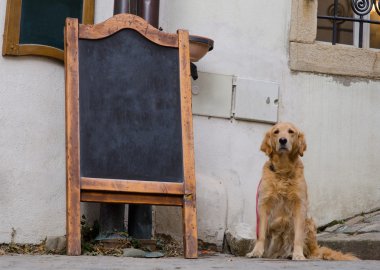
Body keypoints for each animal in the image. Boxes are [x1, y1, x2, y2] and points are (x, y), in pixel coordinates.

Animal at [246, 123, 356, 260]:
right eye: (276, 132)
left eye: (291, 131)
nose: (283, 140)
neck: (283, 170)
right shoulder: (263, 204)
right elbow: (260, 234)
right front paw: (256, 251)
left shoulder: (300, 205)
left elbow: (298, 237)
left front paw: (298, 254)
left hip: (309, 223)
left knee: (313, 252)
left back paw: (294, 254)